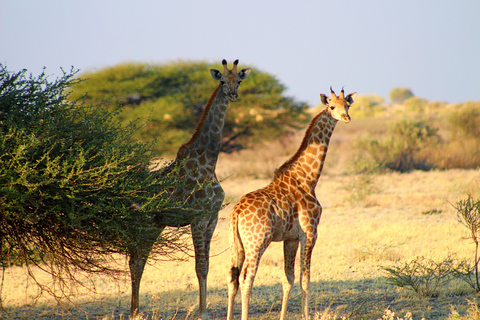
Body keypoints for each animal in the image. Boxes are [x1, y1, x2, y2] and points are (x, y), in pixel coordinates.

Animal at [129, 59, 253, 318]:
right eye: (222, 81)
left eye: (239, 80)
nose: (233, 94)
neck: (210, 161)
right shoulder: (198, 218)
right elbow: (200, 266)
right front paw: (202, 312)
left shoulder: (212, 218)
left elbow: (206, 266)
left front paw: (204, 309)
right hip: (144, 224)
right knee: (135, 262)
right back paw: (135, 312)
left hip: (155, 224)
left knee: (139, 261)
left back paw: (136, 310)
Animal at [227, 87, 354, 320]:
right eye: (332, 106)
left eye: (347, 105)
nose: (346, 118)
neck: (308, 178)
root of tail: (236, 213)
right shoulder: (310, 232)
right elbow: (305, 280)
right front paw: (306, 316)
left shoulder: (291, 238)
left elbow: (288, 280)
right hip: (257, 243)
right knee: (246, 278)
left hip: (236, 244)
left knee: (232, 277)